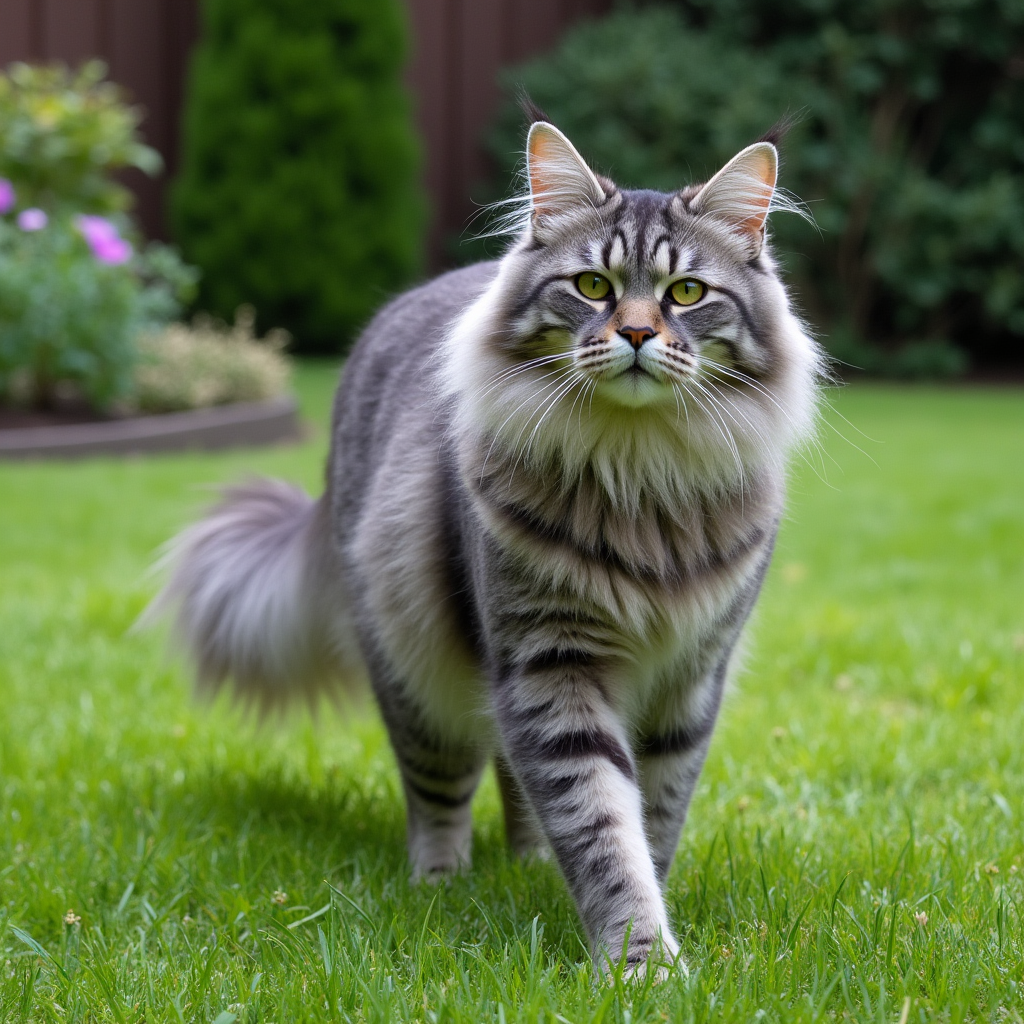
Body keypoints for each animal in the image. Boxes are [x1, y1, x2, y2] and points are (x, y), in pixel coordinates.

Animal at [153, 116, 823, 970]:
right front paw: (640, 960)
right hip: (416, 669)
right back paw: (441, 884)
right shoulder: (548, 663)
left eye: (686, 293)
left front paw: (651, 934)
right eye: (594, 287)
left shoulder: (690, 679)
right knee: (438, 795)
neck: (638, 470)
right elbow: (603, 824)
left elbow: (652, 818)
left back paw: (530, 867)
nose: (638, 333)